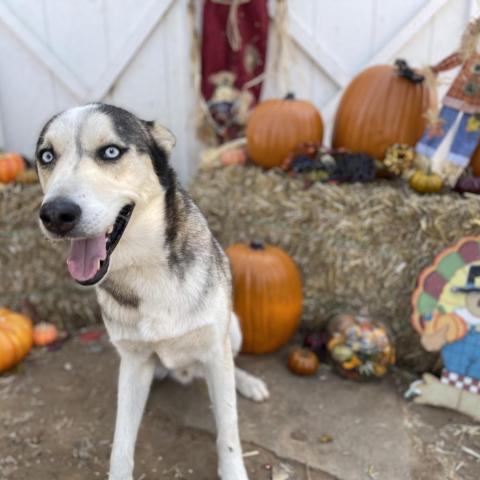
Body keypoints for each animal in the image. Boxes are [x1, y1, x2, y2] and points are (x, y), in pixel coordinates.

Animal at [36, 105, 270, 480]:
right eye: (46, 156)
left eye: (111, 151)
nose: (56, 214)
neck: (146, 266)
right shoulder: (133, 362)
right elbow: (121, 442)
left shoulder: (215, 347)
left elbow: (229, 430)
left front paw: (233, 469)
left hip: (231, 331)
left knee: (229, 366)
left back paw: (246, 382)